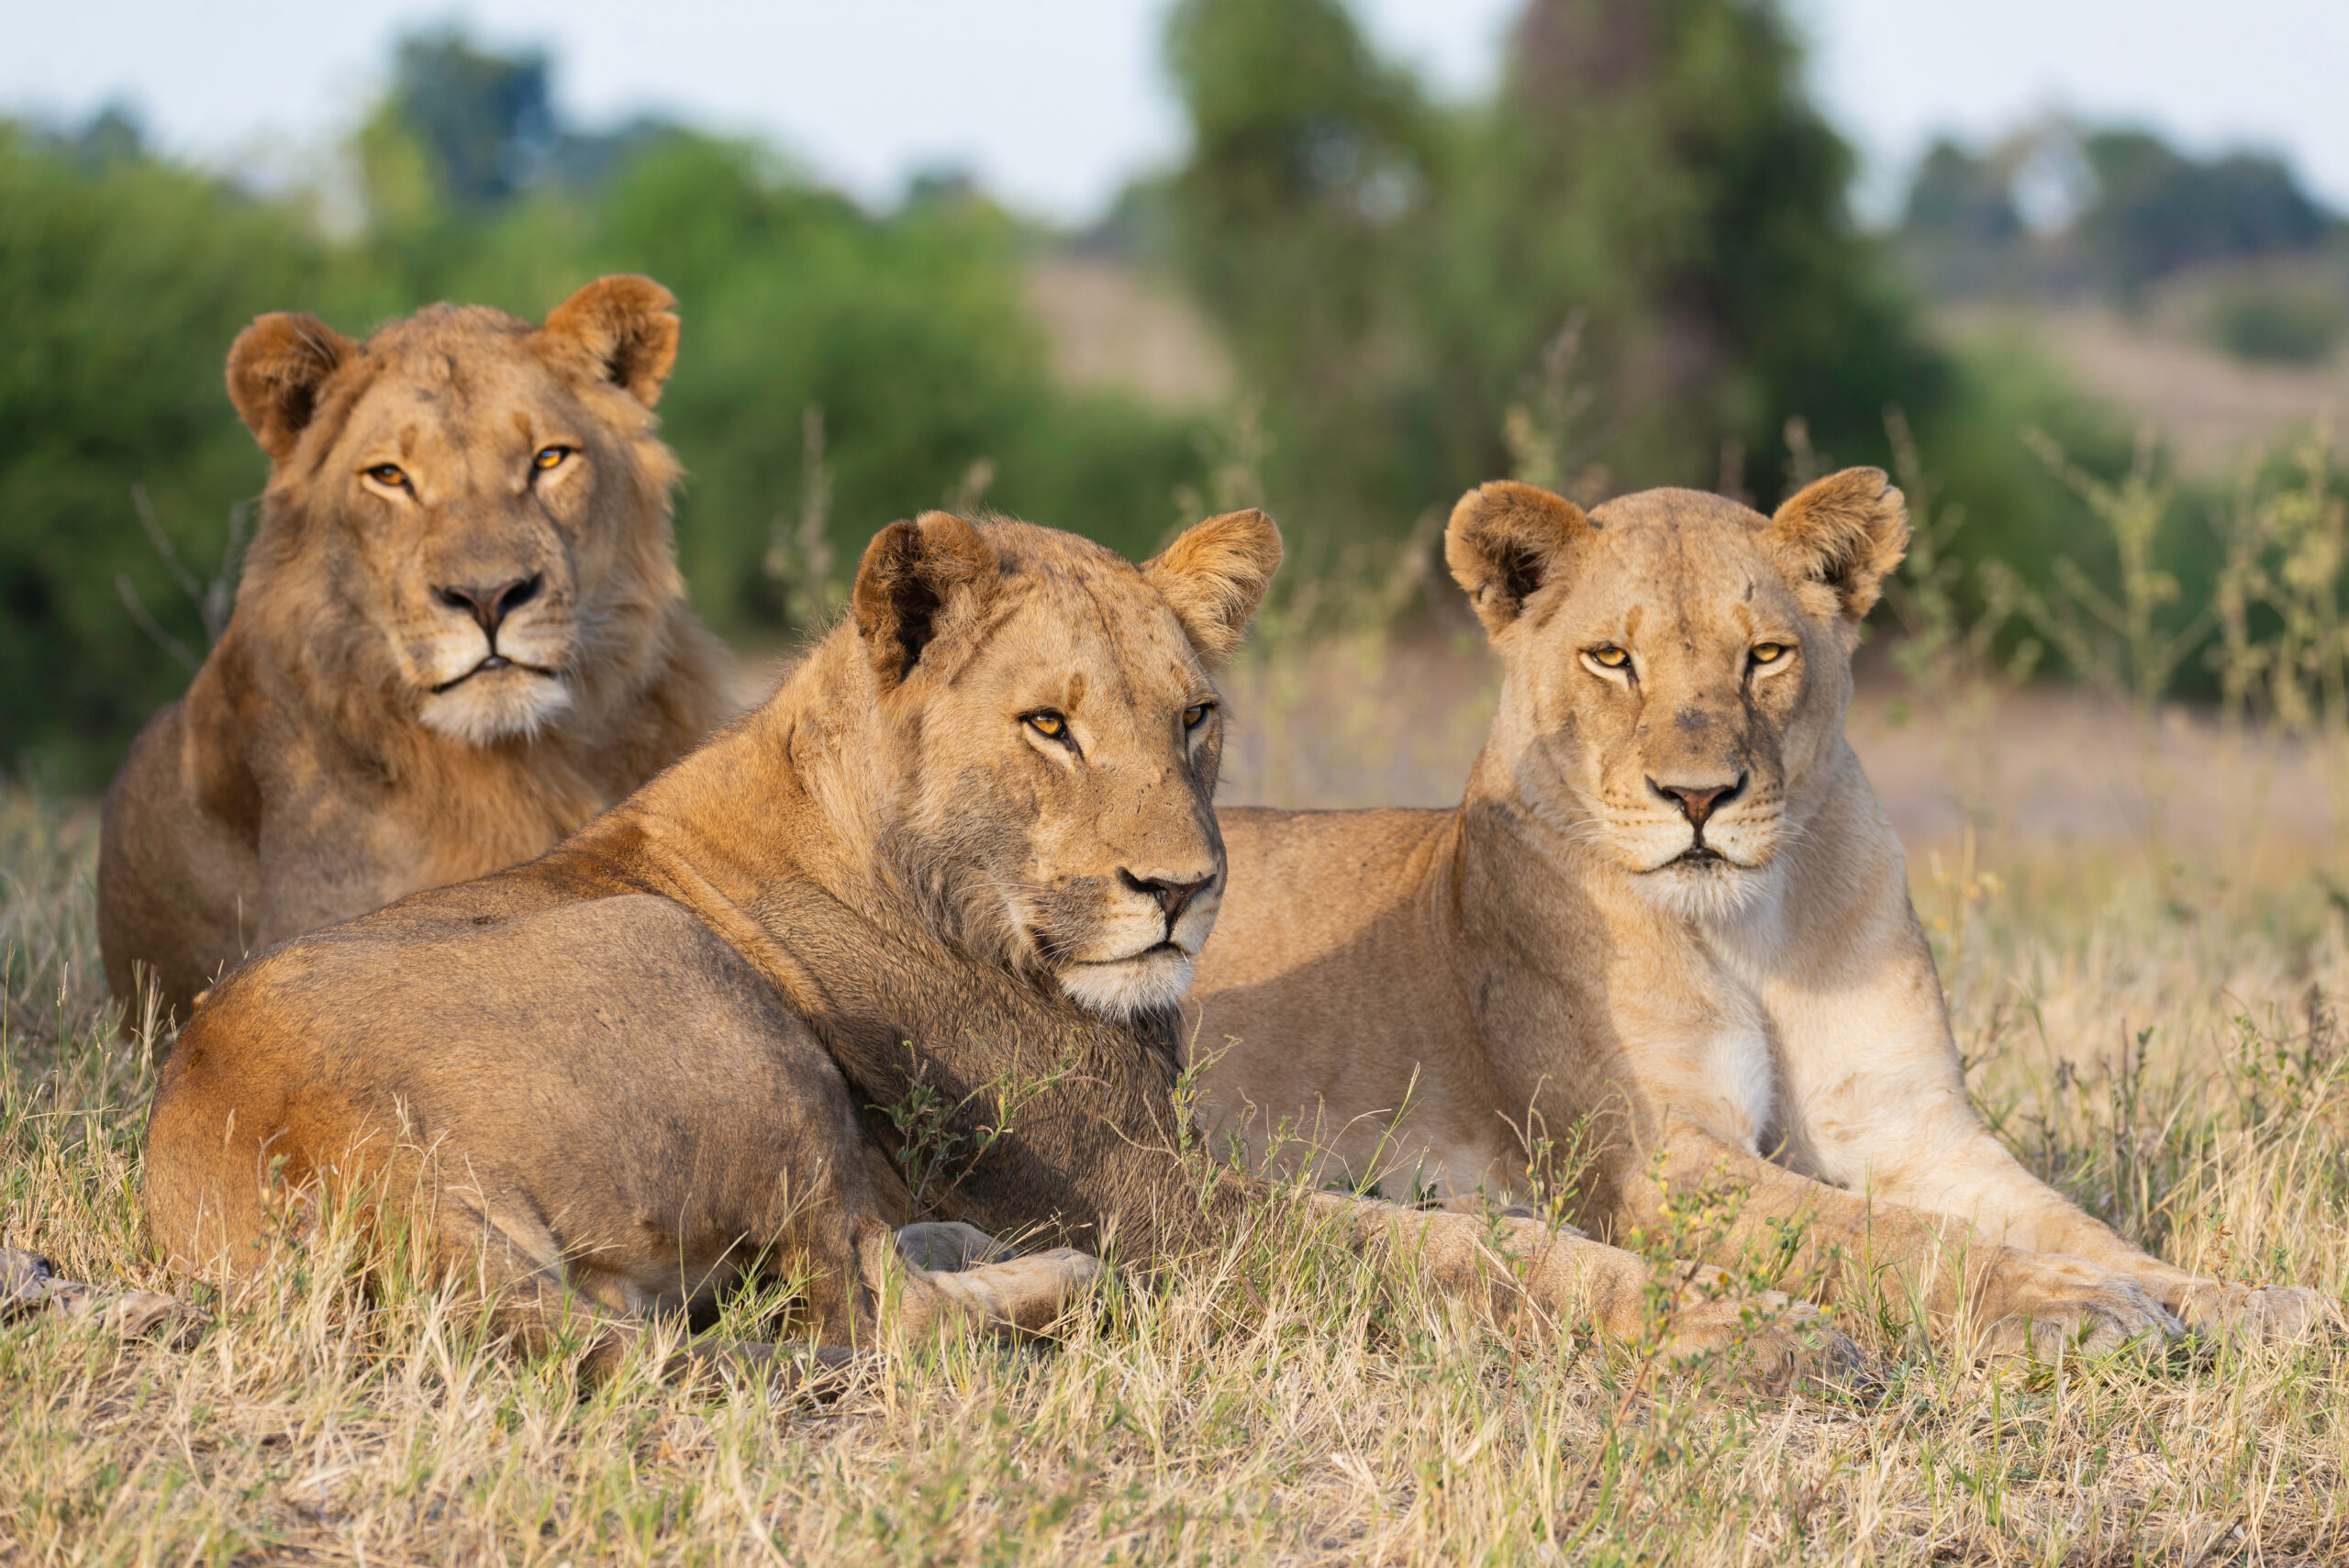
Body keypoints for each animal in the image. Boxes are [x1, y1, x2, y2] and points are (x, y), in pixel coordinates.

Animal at [133, 509, 1851, 1389]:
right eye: (1049, 725)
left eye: (1195, 715)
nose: (1183, 890)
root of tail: (329, 1136)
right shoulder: (1173, 1207)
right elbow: (1469, 1248)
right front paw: (1751, 1326)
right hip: (687, 976)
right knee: (861, 1309)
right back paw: (1048, 1279)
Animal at [1193, 469, 2330, 1361]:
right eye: (1611, 658)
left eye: (1765, 655)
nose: (1698, 796)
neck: (1751, 931)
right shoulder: (1661, 1163)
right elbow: (1880, 1235)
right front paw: (2072, 1304)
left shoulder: (1913, 1128)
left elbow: (2074, 1223)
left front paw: (2247, 1300)